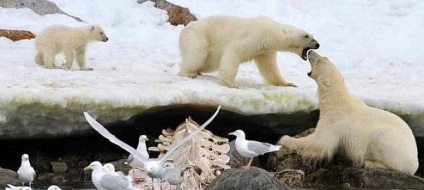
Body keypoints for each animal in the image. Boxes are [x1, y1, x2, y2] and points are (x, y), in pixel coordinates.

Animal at [177, 14, 320, 87]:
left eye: (312, 35)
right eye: (306, 36)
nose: (317, 44)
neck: (269, 32)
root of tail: (186, 28)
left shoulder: (265, 50)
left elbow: (269, 67)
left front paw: (287, 83)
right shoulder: (254, 37)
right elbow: (233, 51)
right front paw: (231, 83)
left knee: (207, 63)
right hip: (199, 36)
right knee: (197, 55)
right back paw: (189, 73)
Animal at [278, 50, 418, 175]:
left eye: (320, 60)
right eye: (325, 57)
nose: (310, 51)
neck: (336, 101)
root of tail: (415, 163)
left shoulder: (333, 122)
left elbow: (319, 143)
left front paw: (285, 138)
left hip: (391, 144)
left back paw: (369, 163)